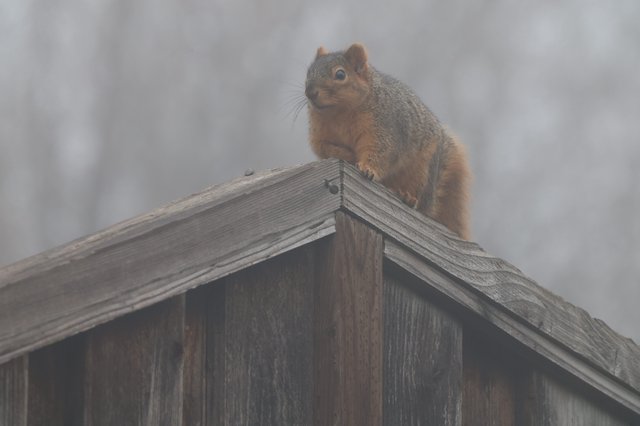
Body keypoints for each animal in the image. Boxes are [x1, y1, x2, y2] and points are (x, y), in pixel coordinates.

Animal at [305, 42, 471, 240]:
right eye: (308, 72)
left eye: (340, 74)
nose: (310, 92)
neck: (338, 113)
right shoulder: (319, 136)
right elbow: (324, 149)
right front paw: (347, 155)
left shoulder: (384, 128)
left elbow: (381, 151)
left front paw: (368, 169)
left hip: (422, 171)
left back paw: (409, 197)